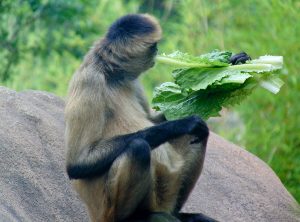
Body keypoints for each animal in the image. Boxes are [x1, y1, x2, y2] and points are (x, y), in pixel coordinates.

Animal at [65, 13, 251, 222]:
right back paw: (133, 217)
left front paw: (224, 78)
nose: (157, 52)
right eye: (153, 46)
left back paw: (177, 214)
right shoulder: (89, 80)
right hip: (107, 209)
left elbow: (154, 120)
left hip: (164, 192)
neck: (112, 73)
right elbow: (78, 164)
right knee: (138, 147)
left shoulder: (133, 80)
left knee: (198, 137)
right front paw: (182, 124)